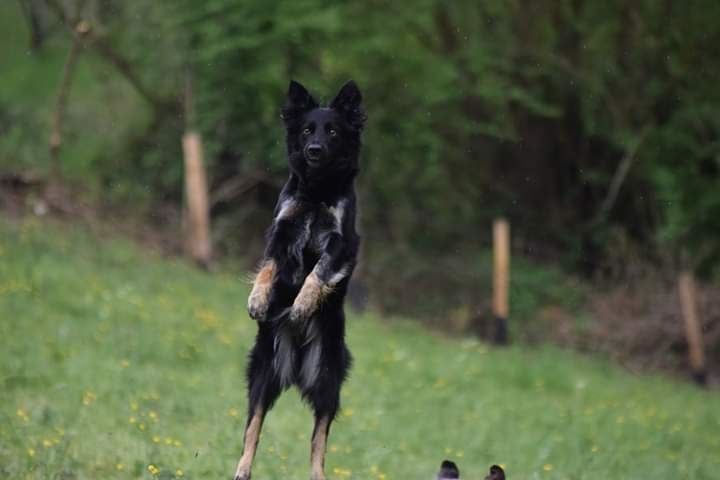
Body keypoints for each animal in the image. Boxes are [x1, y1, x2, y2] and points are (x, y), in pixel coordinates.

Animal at [235, 80, 366, 478]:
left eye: (333, 131)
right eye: (307, 130)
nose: (314, 149)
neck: (318, 191)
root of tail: (294, 366)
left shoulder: (343, 244)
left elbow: (318, 272)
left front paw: (303, 305)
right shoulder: (281, 229)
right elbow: (267, 267)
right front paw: (258, 300)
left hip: (328, 380)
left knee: (318, 439)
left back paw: (318, 473)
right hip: (263, 373)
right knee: (253, 426)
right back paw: (241, 468)